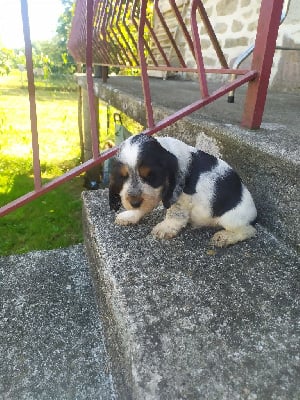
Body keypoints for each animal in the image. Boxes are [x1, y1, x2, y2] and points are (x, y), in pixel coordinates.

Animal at [109, 134, 256, 247]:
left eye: (151, 176)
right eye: (123, 177)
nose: (134, 203)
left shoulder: (179, 197)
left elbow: (175, 213)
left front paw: (165, 227)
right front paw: (130, 215)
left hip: (230, 218)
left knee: (248, 230)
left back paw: (224, 237)